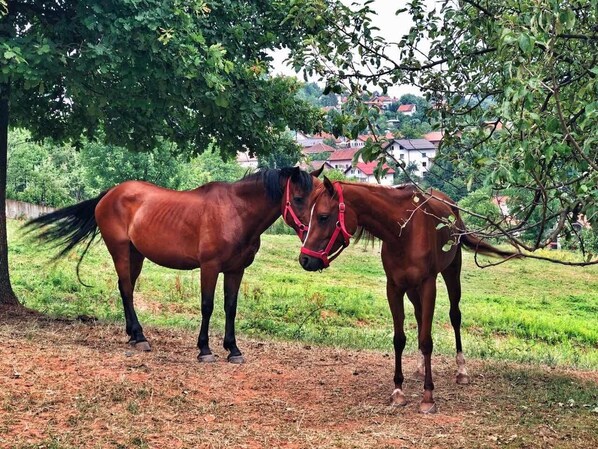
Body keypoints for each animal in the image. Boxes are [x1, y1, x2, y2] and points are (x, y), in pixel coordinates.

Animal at [24, 166, 316, 362]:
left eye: (317, 200)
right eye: (298, 198)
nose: (309, 239)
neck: (235, 212)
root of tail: (109, 193)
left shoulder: (235, 270)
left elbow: (230, 308)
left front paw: (233, 349)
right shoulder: (209, 267)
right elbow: (207, 306)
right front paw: (204, 349)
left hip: (136, 255)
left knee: (125, 288)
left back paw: (133, 335)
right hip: (120, 251)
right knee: (127, 289)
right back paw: (140, 336)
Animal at [300, 178, 520, 412]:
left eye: (323, 216)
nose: (305, 260)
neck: (403, 232)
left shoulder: (428, 286)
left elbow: (426, 339)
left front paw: (428, 396)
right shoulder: (394, 288)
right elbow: (400, 339)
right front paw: (398, 391)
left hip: (452, 272)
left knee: (455, 316)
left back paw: (461, 371)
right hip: (413, 290)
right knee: (420, 317)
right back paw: (421, 368)